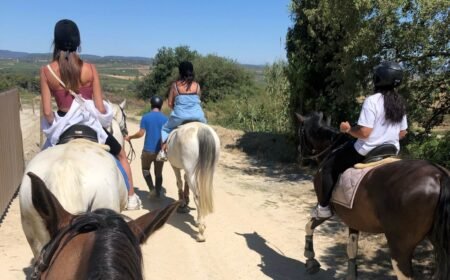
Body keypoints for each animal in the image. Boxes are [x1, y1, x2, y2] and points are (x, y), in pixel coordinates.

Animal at [296, 112, 450, 280]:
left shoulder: (326, 207)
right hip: (437, 244)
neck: (333, 148)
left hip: (400, 247)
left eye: (301, 132)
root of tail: (439, 175)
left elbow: (308, 226)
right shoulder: (354, 219)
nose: (300, 157)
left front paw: (310, 259)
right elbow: (351, 249)